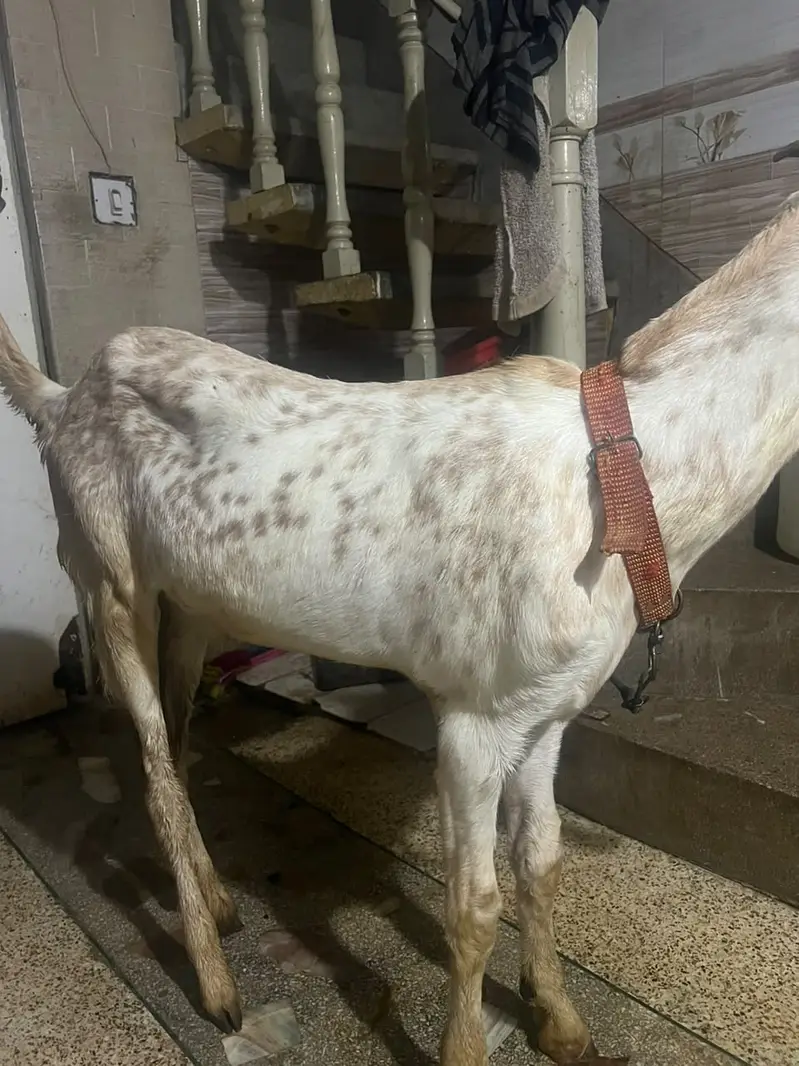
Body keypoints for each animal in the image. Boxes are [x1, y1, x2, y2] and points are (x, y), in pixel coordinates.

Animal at [2, 191, 799, 1066]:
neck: (625, 481)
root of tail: (59, 399)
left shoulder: (544, 712)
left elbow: (542, 863)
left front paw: (558, 1020)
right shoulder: (474, 716)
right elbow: (473, 905)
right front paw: (464, 1048)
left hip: (191, 607)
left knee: (176, 754)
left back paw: (218, 906)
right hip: (106, 576)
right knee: (150, 765)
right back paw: (215, 988)